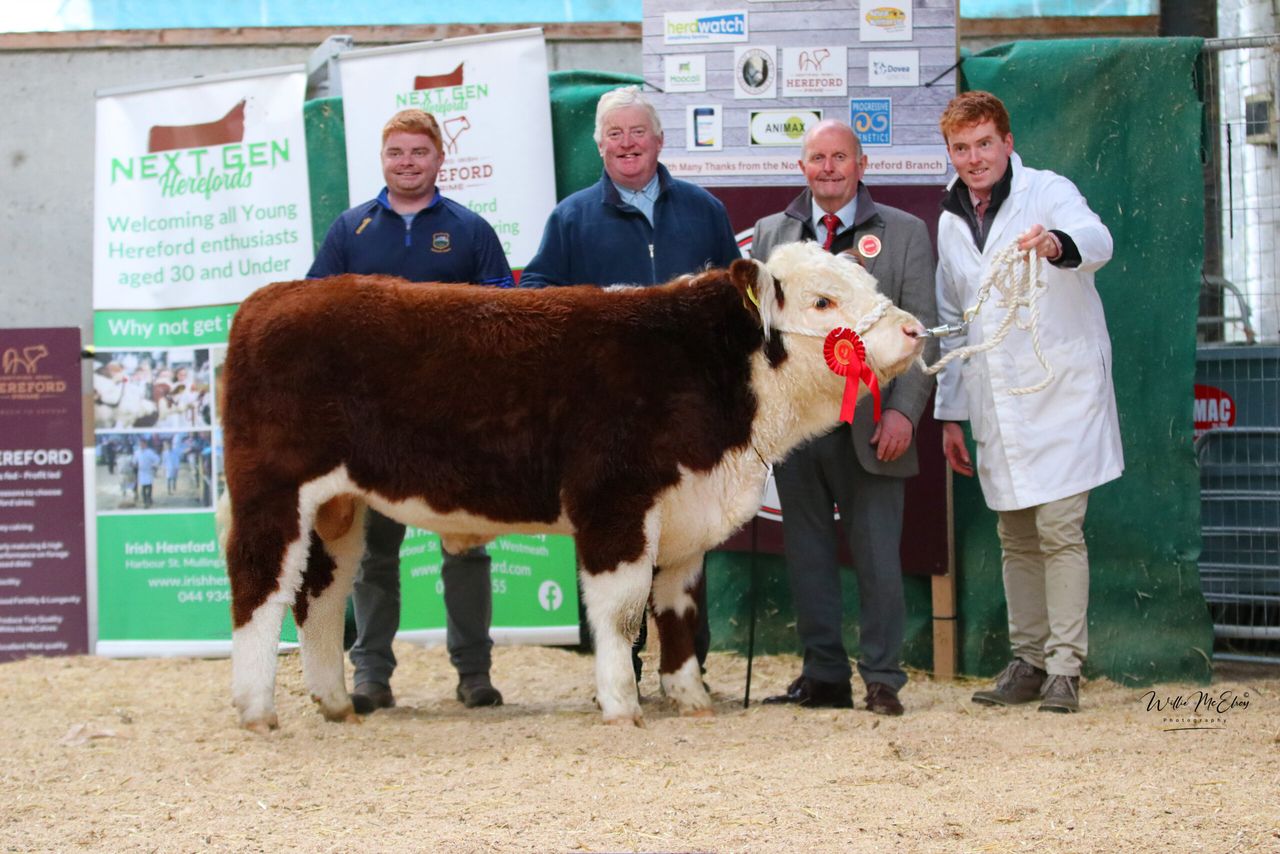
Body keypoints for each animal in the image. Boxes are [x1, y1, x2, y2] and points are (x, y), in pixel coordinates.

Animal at [220, 241, 926, 732]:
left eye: (868, 283)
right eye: (822, 302)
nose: (915, 331)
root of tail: (269, 297)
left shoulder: (686, 514)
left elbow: (678, 610)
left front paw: (690, 698)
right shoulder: (614, 503)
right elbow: (621, 611)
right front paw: (621, 706)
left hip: (335, 507)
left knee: (319, 596)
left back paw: (336, 703)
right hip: (273, 491)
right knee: (259, 587)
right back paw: (256, 709)